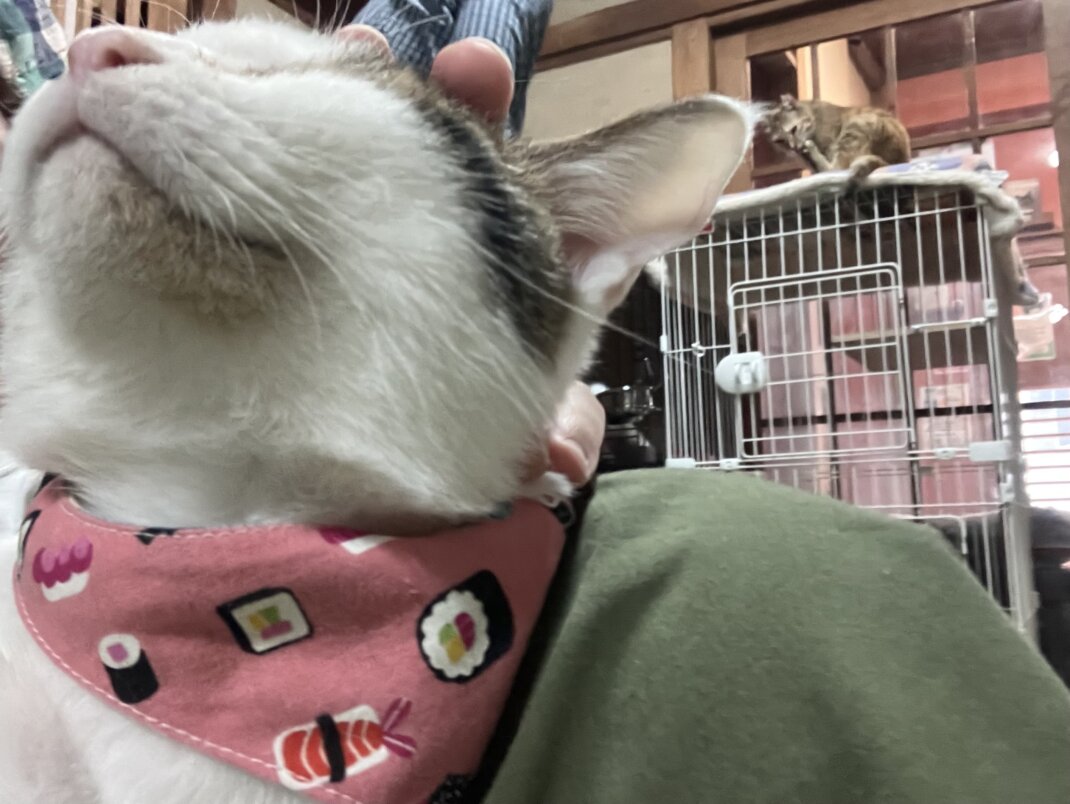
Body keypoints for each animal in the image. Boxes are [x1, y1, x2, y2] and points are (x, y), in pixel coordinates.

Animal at [762, 94, 911, 183]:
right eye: (783, 142)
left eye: (793, 129)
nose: (794, 147)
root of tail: (893, 162)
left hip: (857, 126)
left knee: (836, 169)